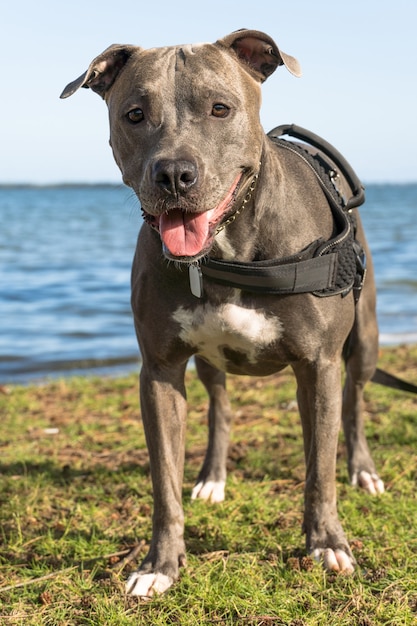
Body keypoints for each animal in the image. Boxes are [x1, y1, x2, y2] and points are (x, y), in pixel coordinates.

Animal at [61, 29, 384, 596]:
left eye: (220, 109)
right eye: (134, 114)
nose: (174, 173)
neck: (228, 248)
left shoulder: (319, 364)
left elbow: (320, 470)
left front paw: (327, 543)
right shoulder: (160, 371)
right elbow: (164, 483)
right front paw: (160, 565)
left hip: (363, 341)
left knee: (353, 403)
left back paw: (362, 469)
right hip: (210, 362)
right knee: (221, 407)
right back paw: (212, 477)